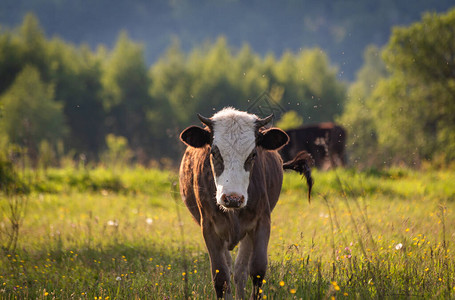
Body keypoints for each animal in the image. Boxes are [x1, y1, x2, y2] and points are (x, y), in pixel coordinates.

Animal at [178, 107, 314, 298]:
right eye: (214, 152)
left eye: (253, 154)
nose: (233, 198)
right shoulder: (209, 227)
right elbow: (220, 276)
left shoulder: (261, 222)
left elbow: (256, 270)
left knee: (240, 271)